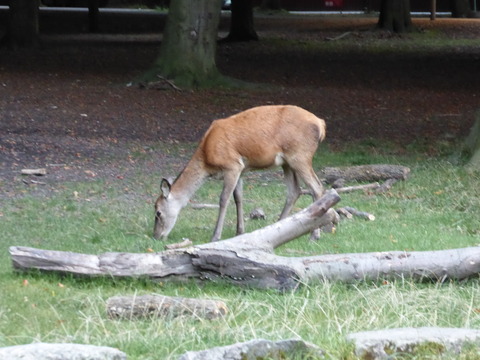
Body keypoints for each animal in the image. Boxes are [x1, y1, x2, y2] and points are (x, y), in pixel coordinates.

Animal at [154, 105, 326, 243]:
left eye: (158, 212)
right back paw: (278, 227)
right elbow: (238, 197)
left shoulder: (232, 165)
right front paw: (239, 232)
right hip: (287, 163)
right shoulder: (242, 169)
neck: (207, 159)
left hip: (300, 156)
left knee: (316, 187)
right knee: (294, 191)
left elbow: (224, 199)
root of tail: (321, 124)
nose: (156, 236)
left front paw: (215, 236)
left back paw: (314, 236)